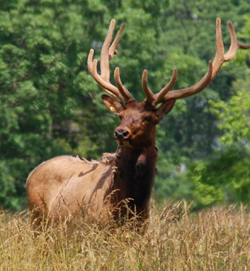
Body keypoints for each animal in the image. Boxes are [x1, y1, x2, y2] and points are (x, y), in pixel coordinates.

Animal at [26, 17, 249, 230]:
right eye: (121, 115)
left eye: (148, 117)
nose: (120, 133)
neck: (129, 207)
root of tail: (31, 173)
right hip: (37, 221)